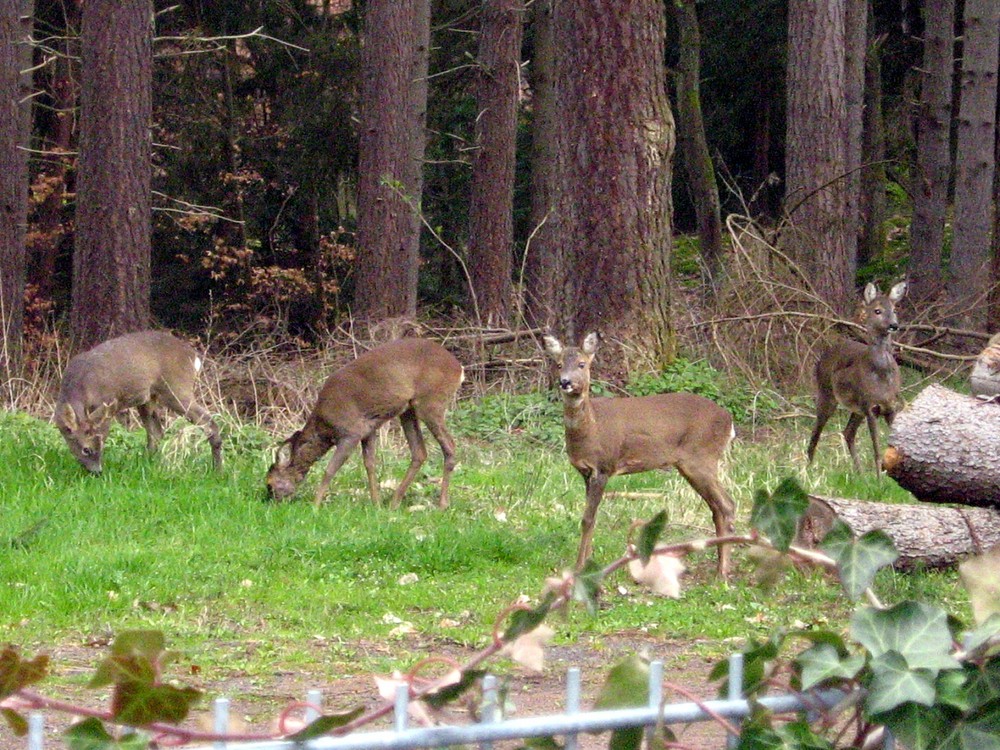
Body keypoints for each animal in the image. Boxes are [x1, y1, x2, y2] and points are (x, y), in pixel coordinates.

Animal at [54, 330, 223, 472]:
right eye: (86, 449)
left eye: (93, 447)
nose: (97, 472)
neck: (77, 385)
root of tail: (194, 357)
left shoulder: (107, 402)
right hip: (148, 398)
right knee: (156, 432)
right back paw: (148, 463)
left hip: (176, 389)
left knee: (209, 424)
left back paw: (217, 470)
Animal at [268, 340, 466, 512]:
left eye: (270, 483)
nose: (270, 501)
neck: (325, 427)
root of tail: (459, 369)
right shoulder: (368, 429)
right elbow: (370, 464)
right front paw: (376, 503)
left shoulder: (351, 432)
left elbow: (329, 469)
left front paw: (315, 506)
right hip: (408, 410)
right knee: (420, 452)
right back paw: (393, 503)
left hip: (431, 402)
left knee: (449, 445)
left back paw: (442, 505)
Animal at [544, 334, 740, 580]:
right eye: (559, 364)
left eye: (582, 364)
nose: (565, 382)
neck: (591, 427)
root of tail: (729, 420)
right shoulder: (586, 472)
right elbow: (591, 518)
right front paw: (587, 562)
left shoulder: (604, 466)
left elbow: (587, 519)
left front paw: (580, 568)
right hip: (693, 464)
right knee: (717, 507)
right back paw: (719, 566)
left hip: (701, 457)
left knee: (727, 505)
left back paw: (723, 570)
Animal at [804, 282, 908, 476]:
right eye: (877, 310)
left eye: (894, 309)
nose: (894, 325)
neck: (881, 375)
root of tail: (823, 356)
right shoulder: (870, 406)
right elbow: (877, 450)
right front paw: (879, 479)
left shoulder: (891, 406)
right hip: (826, 394)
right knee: (816, 432)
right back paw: (808, 469)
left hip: (857, 409)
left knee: (848, 432)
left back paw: (860, 473)